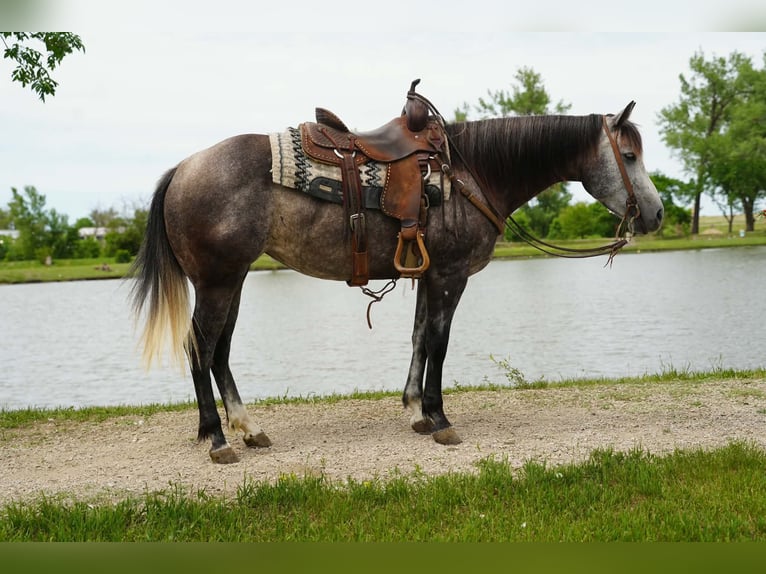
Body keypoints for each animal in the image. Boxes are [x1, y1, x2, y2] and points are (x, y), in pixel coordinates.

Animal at [129, 97, 663, 464]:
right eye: (629, 156)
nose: (656, 213)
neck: (470, 173)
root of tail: (183, 168)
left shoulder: (427, 276)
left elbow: (419, 338)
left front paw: (416, 412)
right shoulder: (450, 276)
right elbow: (439, 343)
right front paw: (440, 417)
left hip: (233, 281)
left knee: (219, 350)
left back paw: (246, 428)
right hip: (218, 283)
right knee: (200, 347)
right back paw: (217, 439)